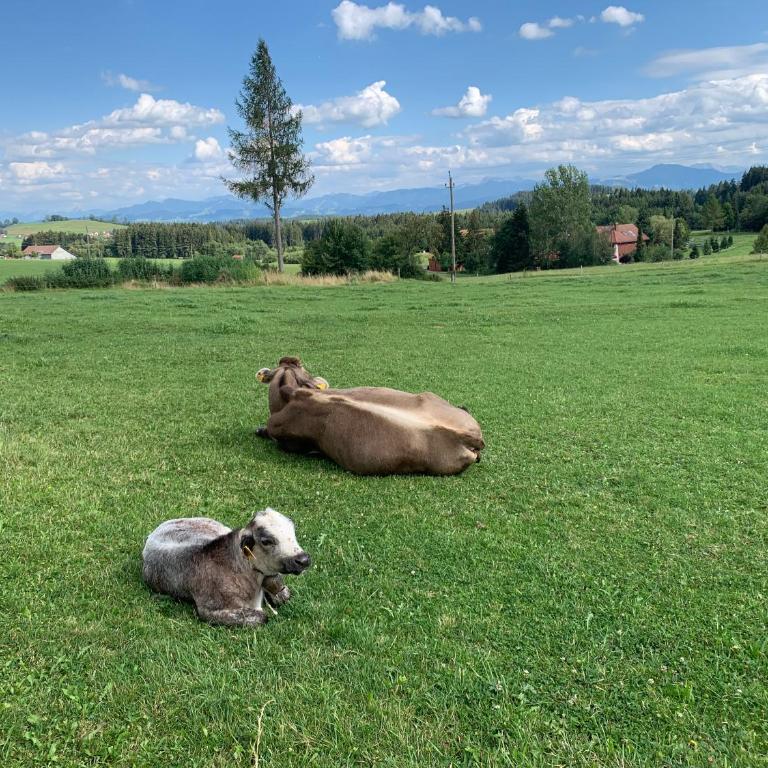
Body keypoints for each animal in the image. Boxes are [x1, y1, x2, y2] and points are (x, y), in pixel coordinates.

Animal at [142, 508, 311, 626]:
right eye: (266, 541)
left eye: (293, 530)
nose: (303, 560)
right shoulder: (208, 611)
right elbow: (262, 617)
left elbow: (283, 595)